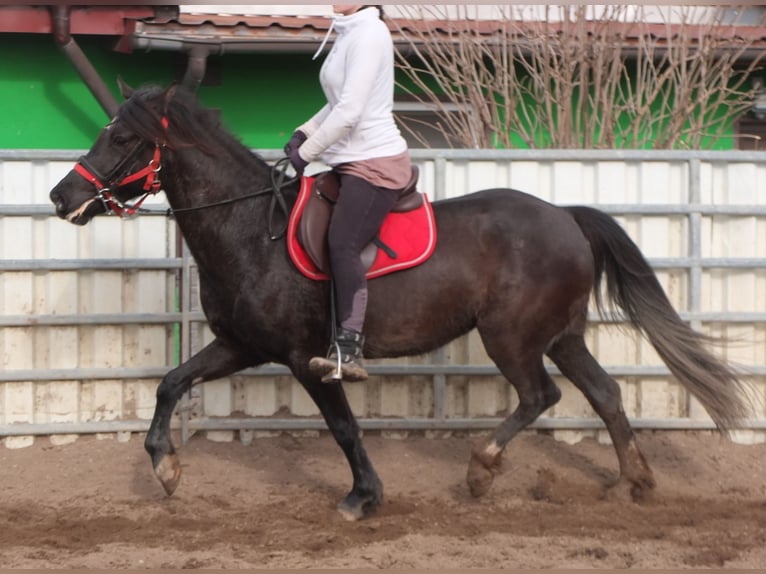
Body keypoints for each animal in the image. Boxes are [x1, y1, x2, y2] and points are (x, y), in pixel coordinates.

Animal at [48, 84, 752, 520]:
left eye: (120, 138)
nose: (60, 197)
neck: (252, 229)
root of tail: (565, 216)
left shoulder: (307, 359)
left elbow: (343, 428)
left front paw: (363, 496)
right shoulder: (241, 345)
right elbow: (171, 382)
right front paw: (165, 469)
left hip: (513, 336)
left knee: (540, 395)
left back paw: (482, 469)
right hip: (562, 334)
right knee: (604, 393)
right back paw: (635, 482)